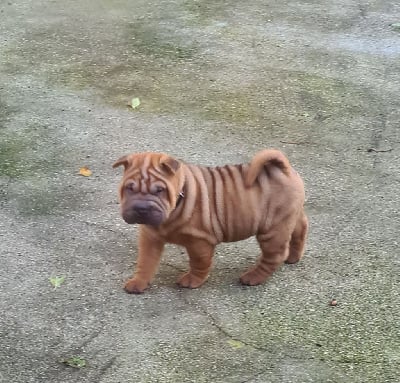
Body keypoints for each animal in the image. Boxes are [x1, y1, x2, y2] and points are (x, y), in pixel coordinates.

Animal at [114, 150, 308, 294]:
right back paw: (293, 257)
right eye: (129, 188)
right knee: (300, 229)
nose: (141, 208)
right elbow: (146, 261)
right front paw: (138, 282)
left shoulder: (199, 242)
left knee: (274, 256)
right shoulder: (150, 238)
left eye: (159, 190)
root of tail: (284, 169)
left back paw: (253, 277)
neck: (178, 201)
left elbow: (199, 263)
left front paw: (192, 281)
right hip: (290, 216)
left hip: (272, 230)